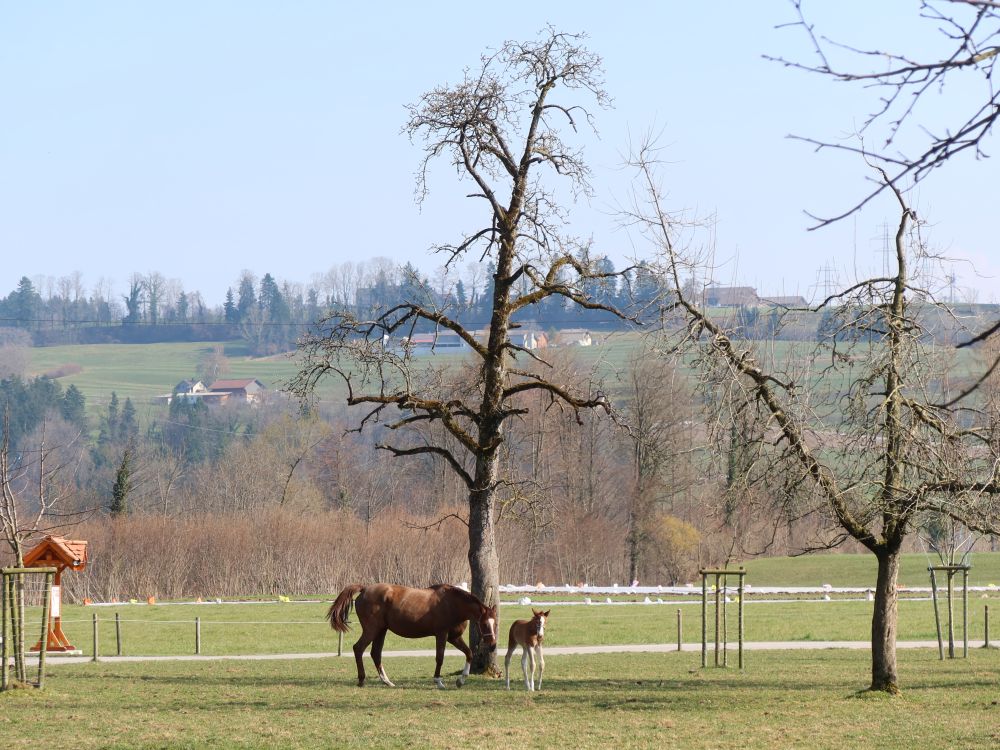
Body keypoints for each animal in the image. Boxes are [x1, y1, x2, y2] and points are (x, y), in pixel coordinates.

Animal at [328, 584, 500, 692]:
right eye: (484, 623)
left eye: (495, 623)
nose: (492, 644)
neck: (452, 604)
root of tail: (364, 589)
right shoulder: (442, 634)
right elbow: (440, 658)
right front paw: (438, 682)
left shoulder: (454, 637)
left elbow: (469, 653)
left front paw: (460, 680)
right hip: (372, 630)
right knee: (358, 648)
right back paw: (362, 679)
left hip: (381, 631)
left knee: (375, 653)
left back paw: (387, 681)